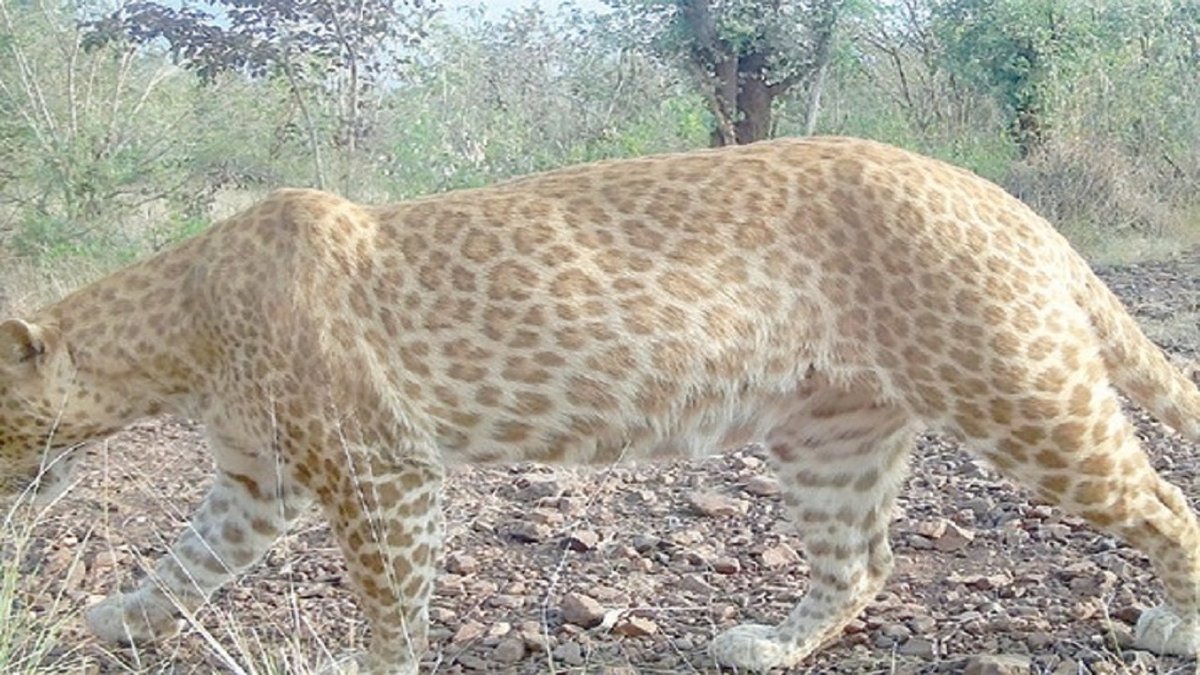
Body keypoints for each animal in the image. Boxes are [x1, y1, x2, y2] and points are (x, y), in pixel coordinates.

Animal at [2, 136, 1199, 674]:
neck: (176, 328)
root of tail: (1005, 201)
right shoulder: (259, 481)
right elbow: (188, 557)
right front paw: (122, 617)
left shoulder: (382, 470)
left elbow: (390, 602)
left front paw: (368, 665)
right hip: (833, 432)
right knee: (861, 561)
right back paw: (767, 645)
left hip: (1018, 392)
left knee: (1165, 506)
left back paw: (1177, 623)